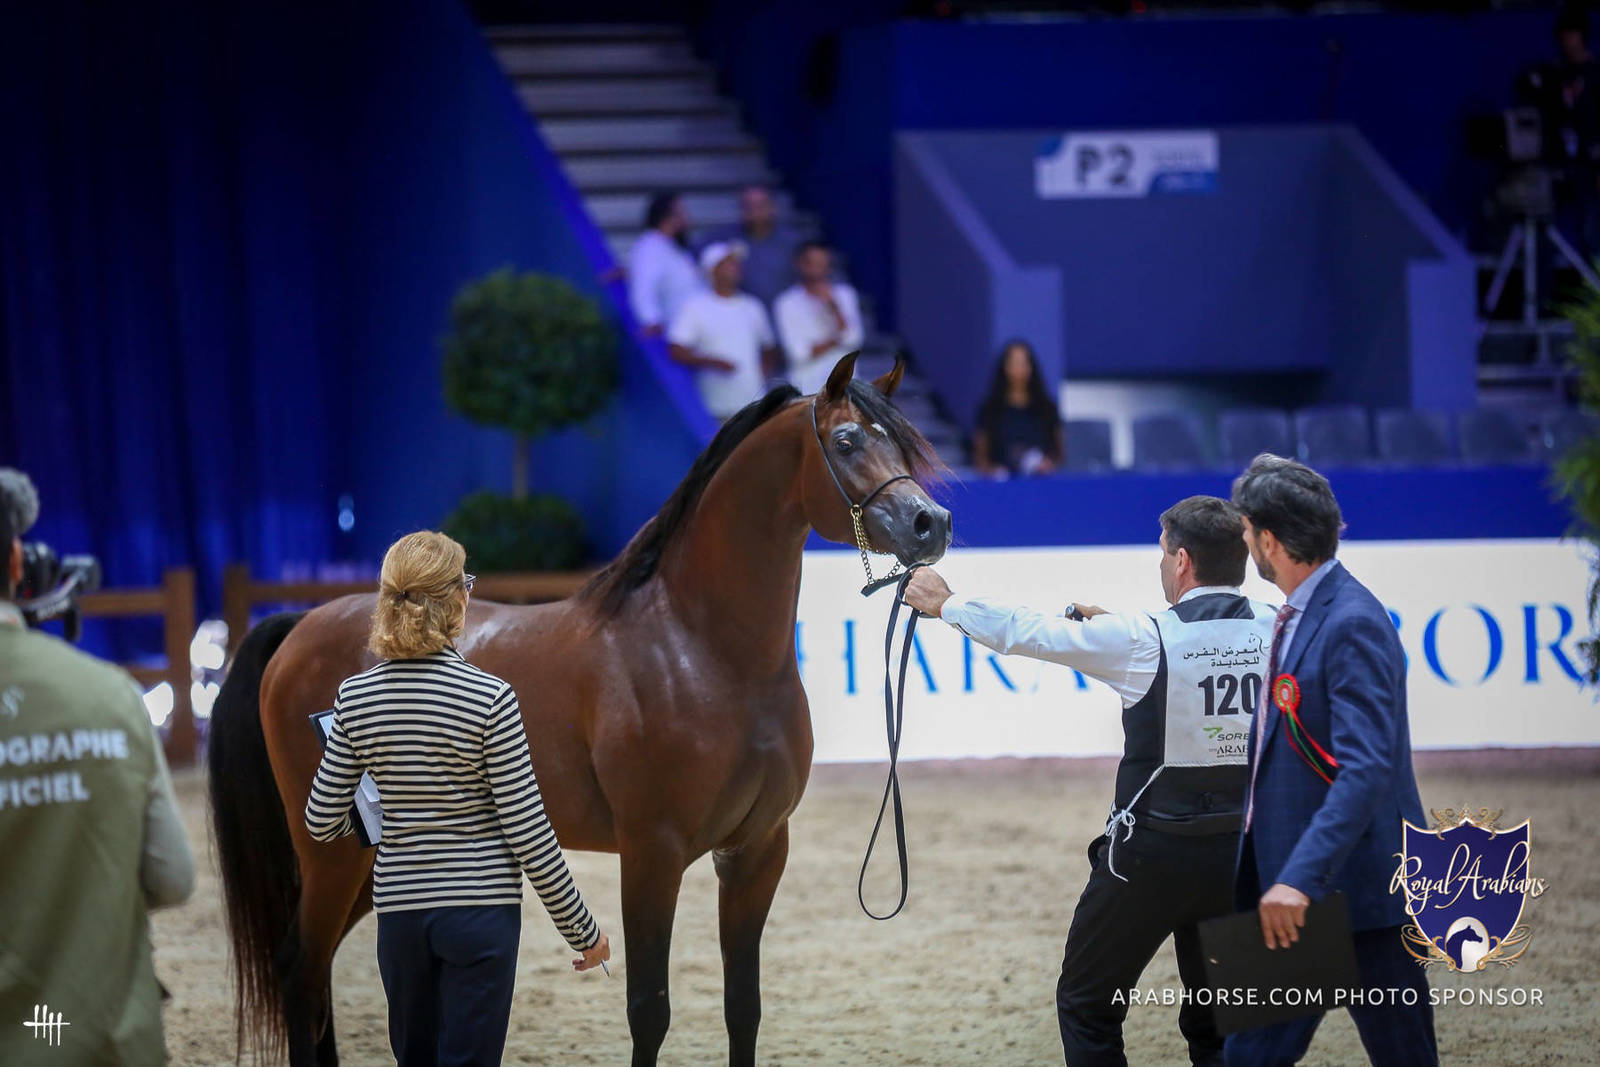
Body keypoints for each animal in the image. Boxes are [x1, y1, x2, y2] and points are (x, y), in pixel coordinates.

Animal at [208, 352, 952, 1066]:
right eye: (847, 440)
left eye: (903, 444)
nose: (931, 523)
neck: (702, 648)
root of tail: (298, 625)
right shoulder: (651, 853)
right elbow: (649, 1011)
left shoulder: (756, 850)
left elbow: (744, 1007)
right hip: (329, 852)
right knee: (300, 969)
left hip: (375, 861)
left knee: (316, 970)